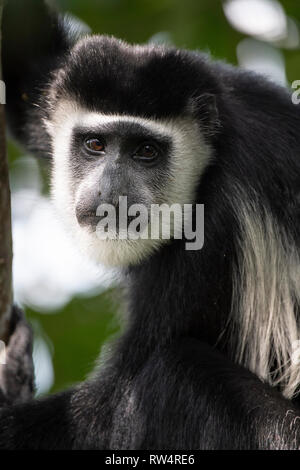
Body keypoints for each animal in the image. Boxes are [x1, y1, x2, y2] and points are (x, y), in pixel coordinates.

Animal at [0, 0, 300, 450]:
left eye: (146, 151)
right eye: (95, 144)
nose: (110, 191)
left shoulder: (212, 233)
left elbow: (111, 403)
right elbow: (29, 67)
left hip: (274, 433)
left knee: (176, 370)